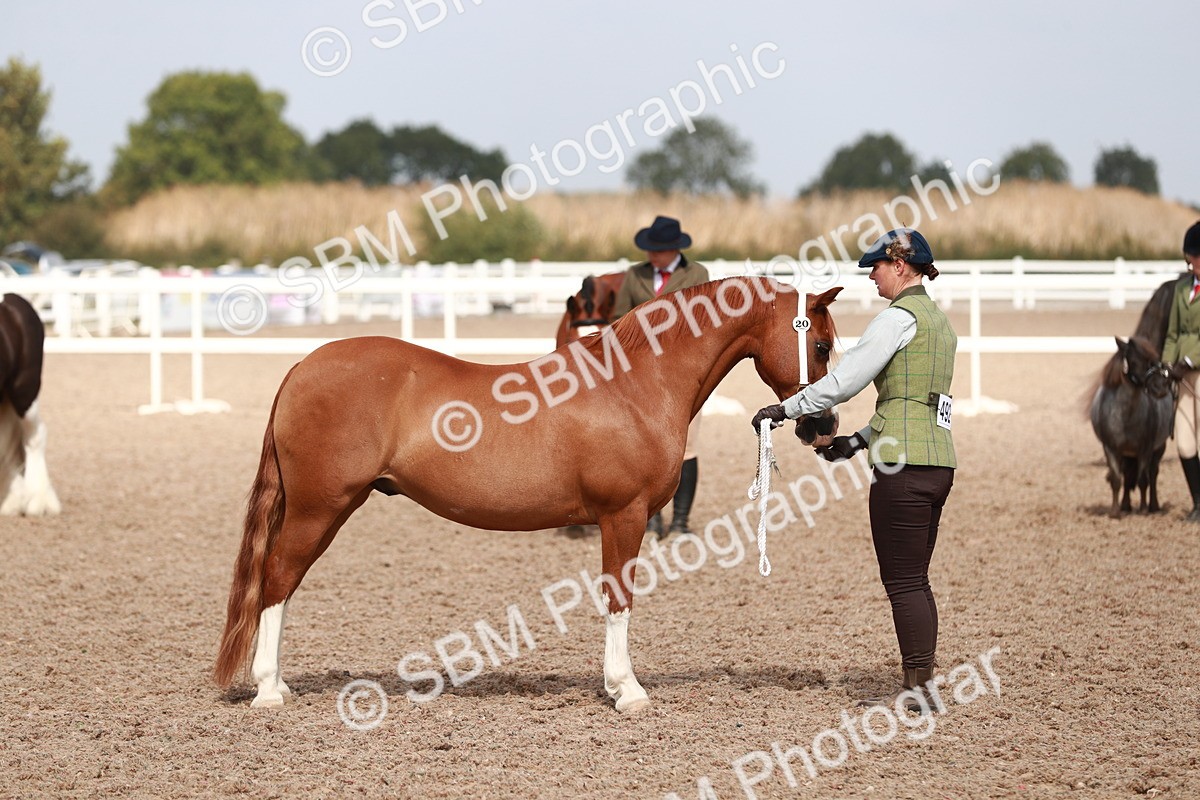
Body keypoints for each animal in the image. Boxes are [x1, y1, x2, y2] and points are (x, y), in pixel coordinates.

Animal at [215, 277, 842, 712]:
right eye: (823, 344)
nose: (825, 426)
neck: (633, 382)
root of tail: (302, 366)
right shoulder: (623, 515)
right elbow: (619, 599)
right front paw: (626, 690)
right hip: (320, 508)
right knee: (276, 580)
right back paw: (269, 690)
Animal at [1089, 336, 1174, 517]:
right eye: (1134, 361)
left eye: (1155, 361)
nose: (1161, 388)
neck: (1125, 416)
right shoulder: (1111, 449)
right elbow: (1116, 479)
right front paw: (1115, 512)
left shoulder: (1146, 449)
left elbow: (1143, 480)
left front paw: (1143, 509)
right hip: (1127, 454)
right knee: (1127, 474)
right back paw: (1125, 505)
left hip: (1159, 448)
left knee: (1153, 474)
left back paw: (1153, 505)